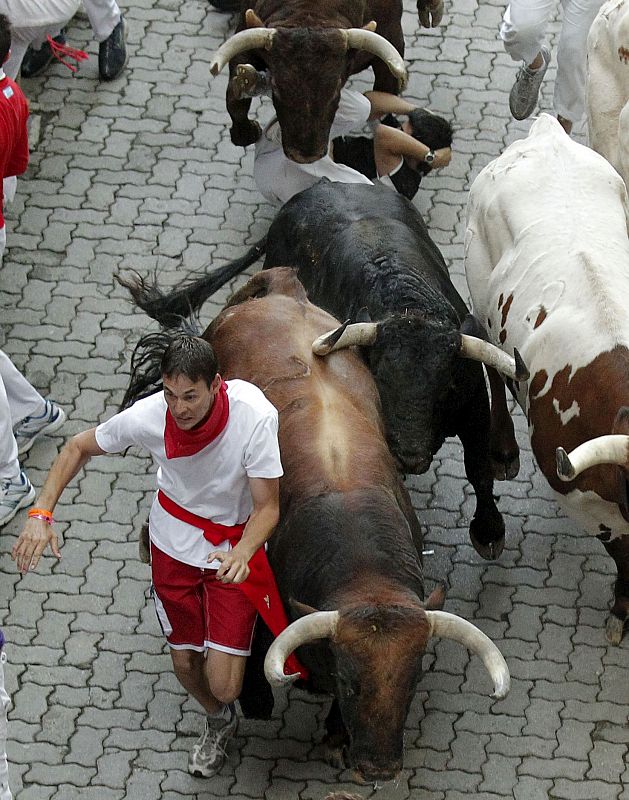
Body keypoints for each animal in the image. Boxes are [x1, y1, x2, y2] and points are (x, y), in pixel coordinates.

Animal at [121, 268, 510, 780]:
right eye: (349, 680)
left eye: (412, 681)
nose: (379, 769)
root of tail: (284, 287)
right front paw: (258, 700)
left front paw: (336, 734)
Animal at [124, 180, 524, 564]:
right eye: (381, 381)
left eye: (444, 387)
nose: (410, 455)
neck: (407, 306)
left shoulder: (472, 401)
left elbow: (478, 468)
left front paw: (489, 530)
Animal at [464, 114, 628, 644]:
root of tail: (548, 133)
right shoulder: (587, 505)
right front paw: (623, 612)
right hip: (479, 291)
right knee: (489, 354)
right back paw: (501, 451)